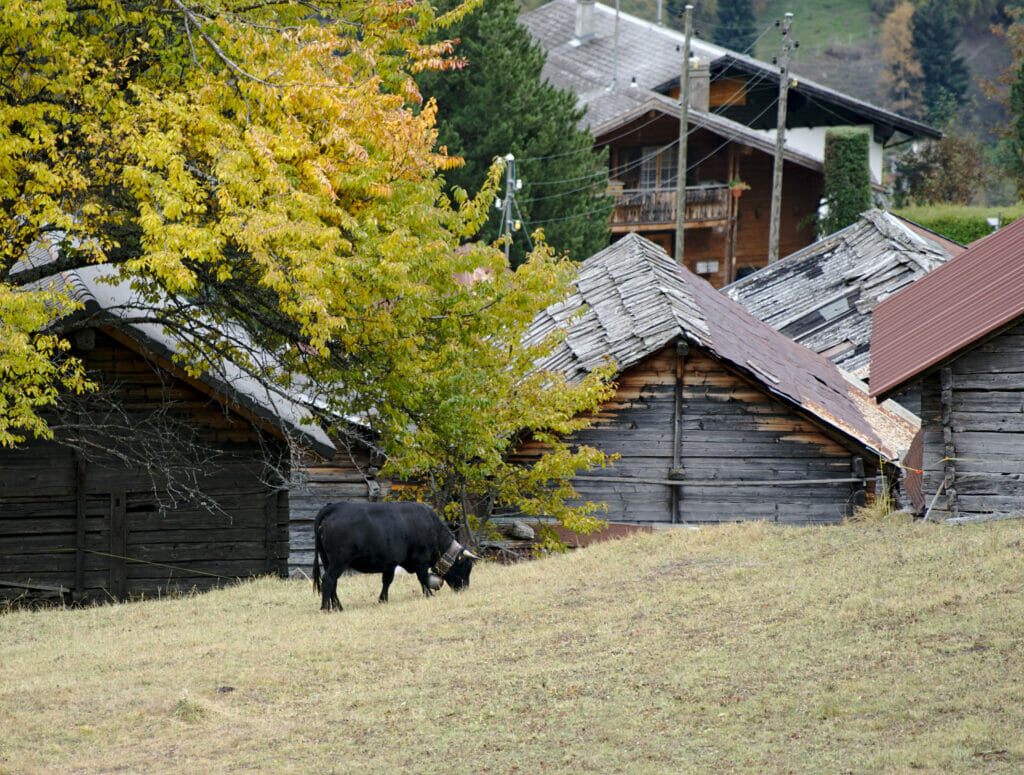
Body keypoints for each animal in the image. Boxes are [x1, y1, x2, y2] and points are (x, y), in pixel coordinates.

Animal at [309, 501, 477, 610]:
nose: (465, 588)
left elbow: (387, 581)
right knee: (328, 580)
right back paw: (326, 607)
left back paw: (338, 606)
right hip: (338, 562)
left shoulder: (390, 563)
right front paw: (429, 595)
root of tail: (333, 507)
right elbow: (423, 579)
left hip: (328, 561)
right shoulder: (421, 560)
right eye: (465, 567)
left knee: (333, 583)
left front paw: (383, 600)